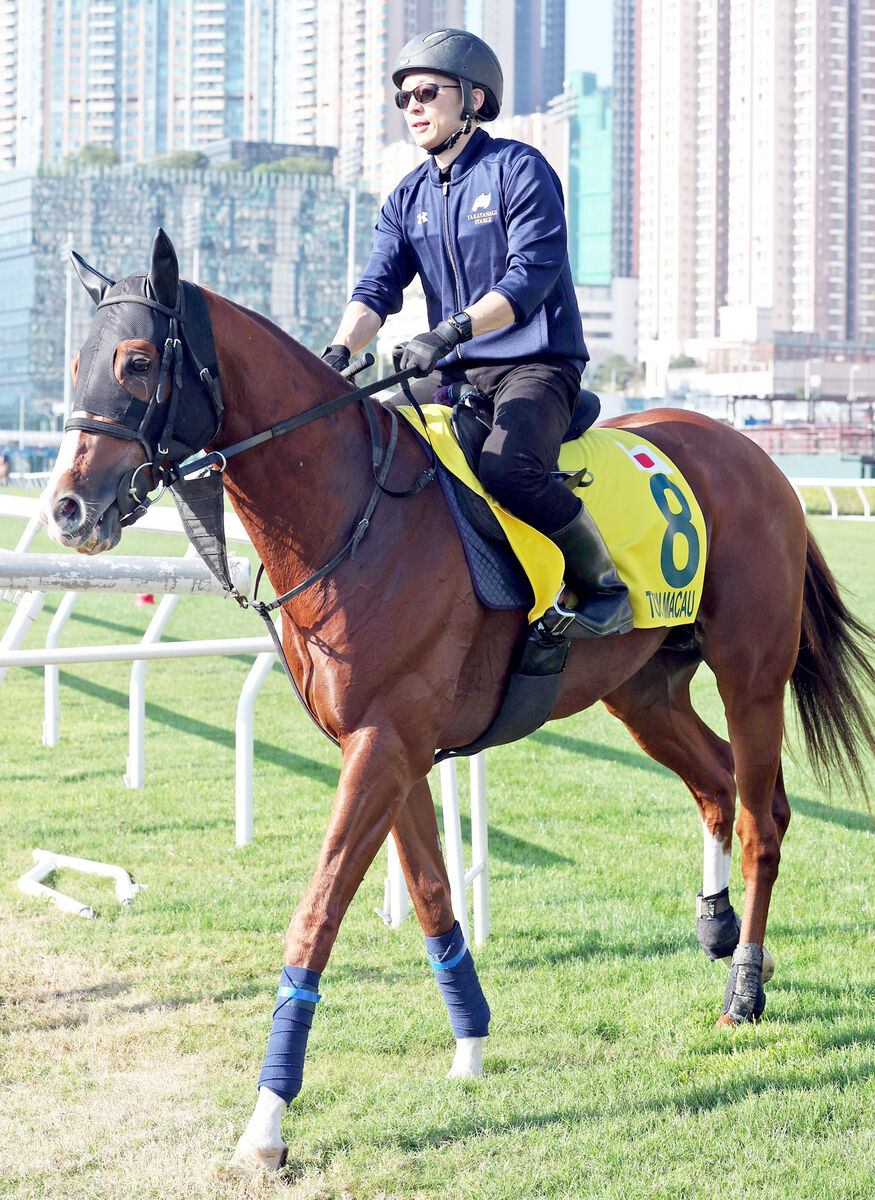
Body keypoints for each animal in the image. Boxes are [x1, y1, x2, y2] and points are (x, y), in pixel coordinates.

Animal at [37, 234, 868, 1171]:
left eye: (137, 362)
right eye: (78, 363)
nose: (68, 510)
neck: (353, 516)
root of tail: (755, 457)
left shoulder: (385, 743)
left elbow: (317, 912)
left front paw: (267, 1121)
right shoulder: (385, 745)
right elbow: (432, 892)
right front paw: (470, 1043)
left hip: (748, 671)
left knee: (762, 815)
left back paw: (743, 988)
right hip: (643, 693)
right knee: (720, 787)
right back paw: (717, 928)